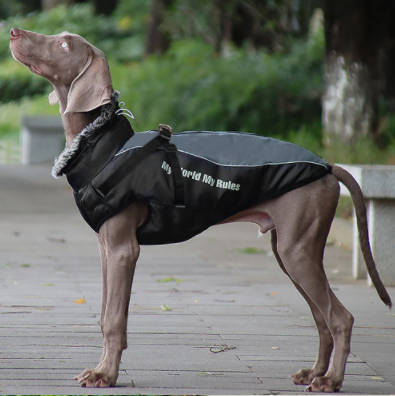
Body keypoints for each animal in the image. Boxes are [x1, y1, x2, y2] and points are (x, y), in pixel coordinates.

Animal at [9, 28, 392, 392]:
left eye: (64, 45)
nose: (13, 32)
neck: (101, 143)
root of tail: (328, 166)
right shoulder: (106, 248)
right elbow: (105, 315)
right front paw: (104, 369)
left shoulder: (122, 249)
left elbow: (114, 319)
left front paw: (105, 375)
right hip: (290, 252)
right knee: (321, 317)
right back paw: (314, 373)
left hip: (297, 251)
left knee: (340, 318)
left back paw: (331, 380)